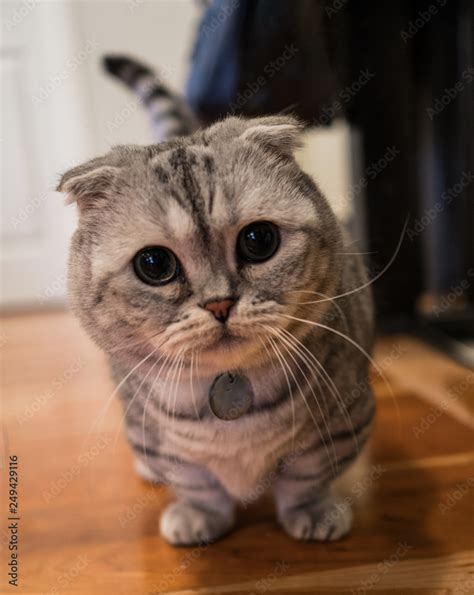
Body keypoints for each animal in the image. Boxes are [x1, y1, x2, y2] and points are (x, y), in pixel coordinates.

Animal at [56, 58, 374, 548]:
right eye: (154, 264)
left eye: (259, 240)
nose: (220, 304)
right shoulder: (164, 443)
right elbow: (196, 482)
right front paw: (199, 517)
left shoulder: (342, 425)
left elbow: (306, 478)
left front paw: (313, 513)